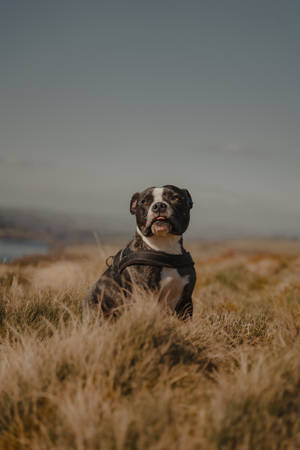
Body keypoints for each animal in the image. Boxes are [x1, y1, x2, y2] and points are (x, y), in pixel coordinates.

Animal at [84, 185, 197, 320]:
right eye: (144, 202)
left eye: (176, 198)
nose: (159, 205)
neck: (164, 248)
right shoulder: (146, 296)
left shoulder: (186, 300)